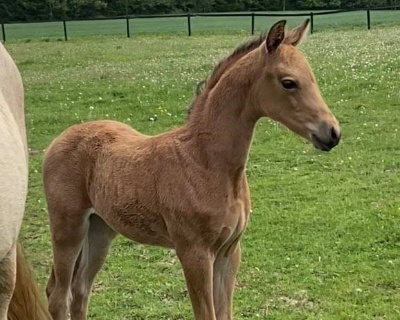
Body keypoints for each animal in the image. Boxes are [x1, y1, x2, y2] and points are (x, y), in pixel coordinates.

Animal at [43, 20, 342, 320]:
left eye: (312, 77)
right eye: (288, 82)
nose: (332, 133)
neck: (206, 162)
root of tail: (58, 140)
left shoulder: (229, 252)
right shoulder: (194, 253)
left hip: (100, 229)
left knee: (80, 290)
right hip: (68, 228)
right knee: (58, 295)